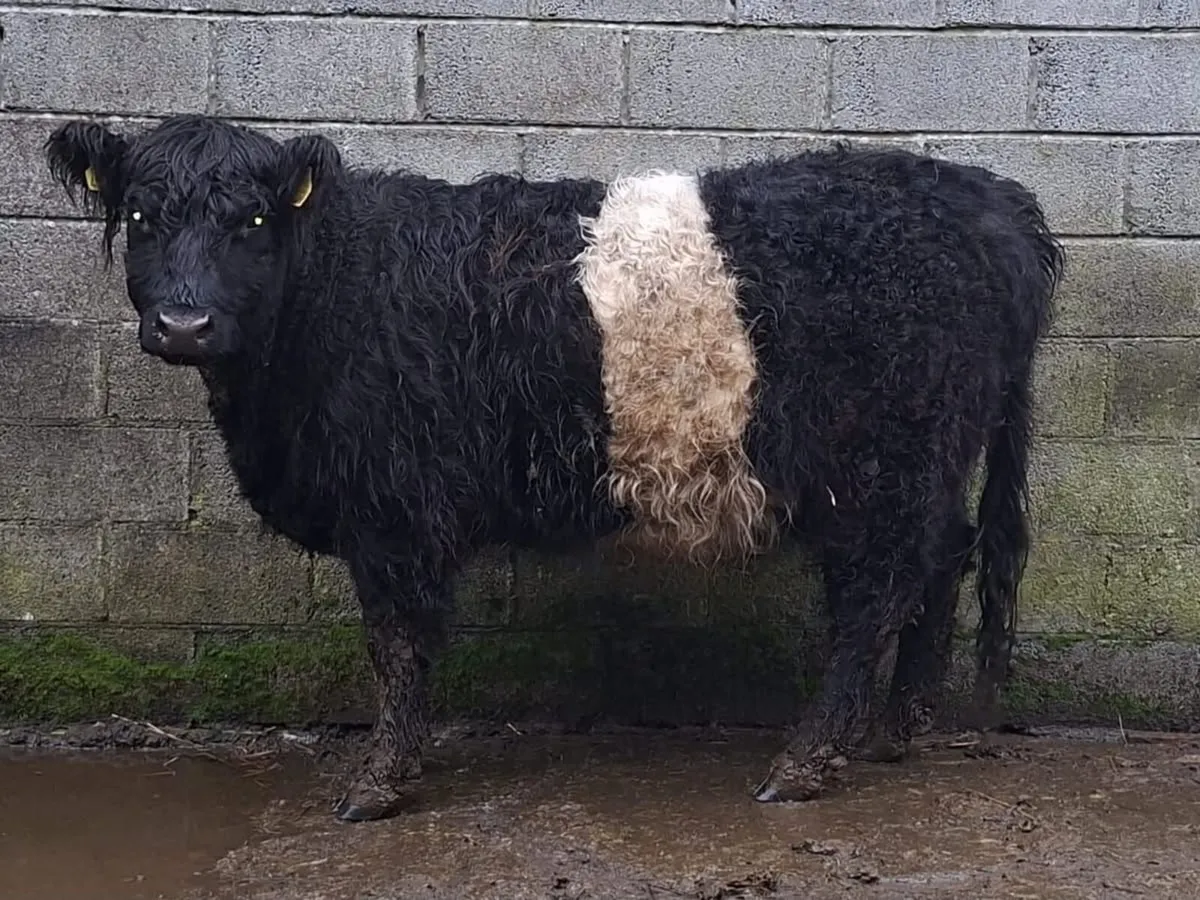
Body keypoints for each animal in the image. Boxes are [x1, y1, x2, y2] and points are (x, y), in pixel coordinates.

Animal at [45, 114, 1062, 822]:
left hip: (883, 465)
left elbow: (398, 645)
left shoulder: (395, 514)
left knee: (878, 595)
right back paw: (897, 731)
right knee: (942, 561)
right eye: (140, 214)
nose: (184, 323)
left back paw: (807, 761)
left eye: (251, 219)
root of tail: (985, 194)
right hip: (930, 459)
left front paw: (379, 782)